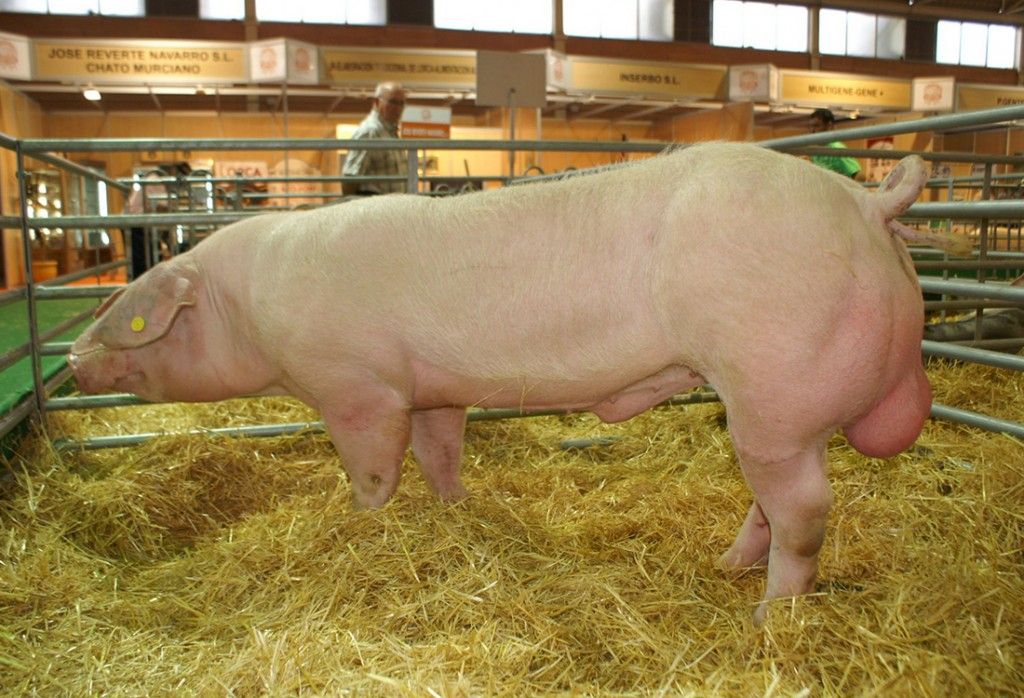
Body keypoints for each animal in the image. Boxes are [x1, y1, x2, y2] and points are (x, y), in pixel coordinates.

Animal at [69, 142, 937, 624]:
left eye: (127, 311)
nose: (72, 358)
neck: (248, 304)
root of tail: (866, 201)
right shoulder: (431, 390)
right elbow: (439, 457)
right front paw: (455, 514)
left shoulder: (357, 385)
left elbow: (374, 471)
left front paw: (363, 525)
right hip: (772, 411)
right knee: (768, 505)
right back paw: (728, 569)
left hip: (772, 388)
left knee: (804, 511)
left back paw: (767, 618)